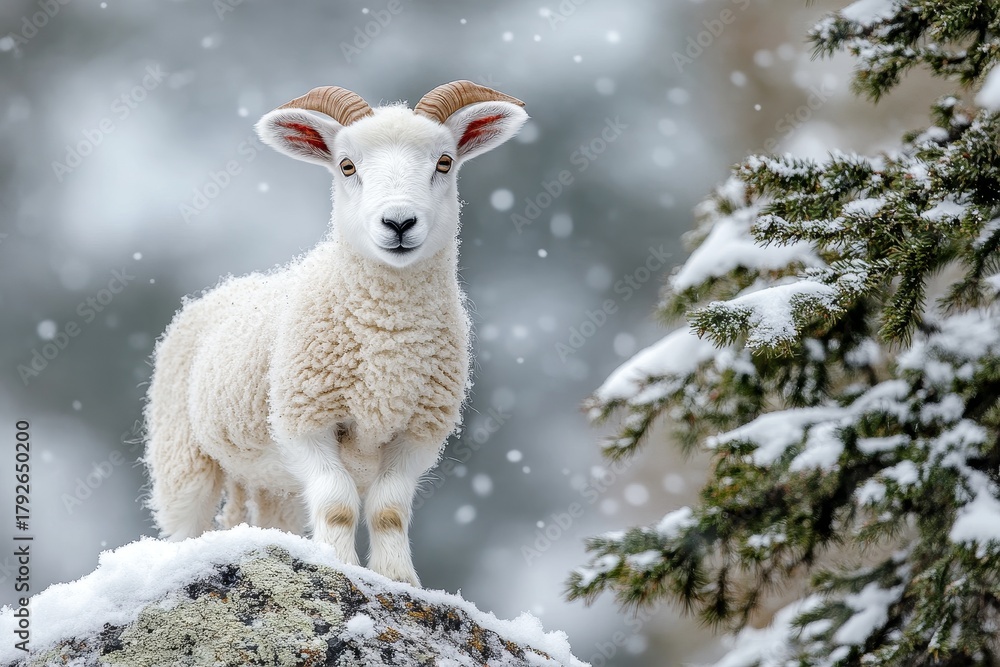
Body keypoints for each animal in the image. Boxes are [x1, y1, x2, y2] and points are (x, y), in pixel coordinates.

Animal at [143, 81, 528, 586]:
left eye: (444, 162)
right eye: (347, 166)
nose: (399, 223)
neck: (388, 334)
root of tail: (220, 288)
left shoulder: (418, 431)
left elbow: (389, 511)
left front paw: (398, 578)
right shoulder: (305, 420)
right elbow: (337, 504)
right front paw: (339, 565)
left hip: (274, 483)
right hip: (183, 455)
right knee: (183, 524)